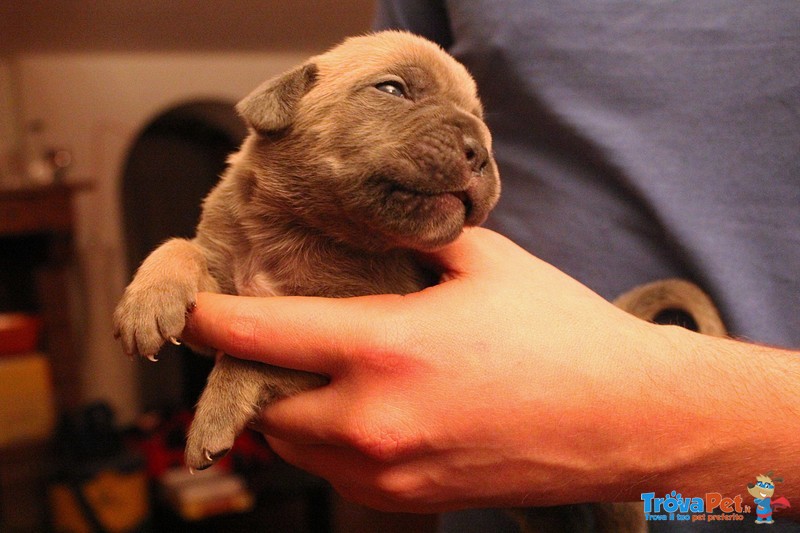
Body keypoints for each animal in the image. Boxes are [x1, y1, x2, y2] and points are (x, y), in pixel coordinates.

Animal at [112, 29, 500, 470]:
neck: (300, 229)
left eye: (479, 117)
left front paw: (214, 417)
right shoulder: (220, 298)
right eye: (391, 89)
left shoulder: (335, 356)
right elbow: (180, 247)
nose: (481, 153)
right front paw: (148, 302)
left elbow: (252, 358)